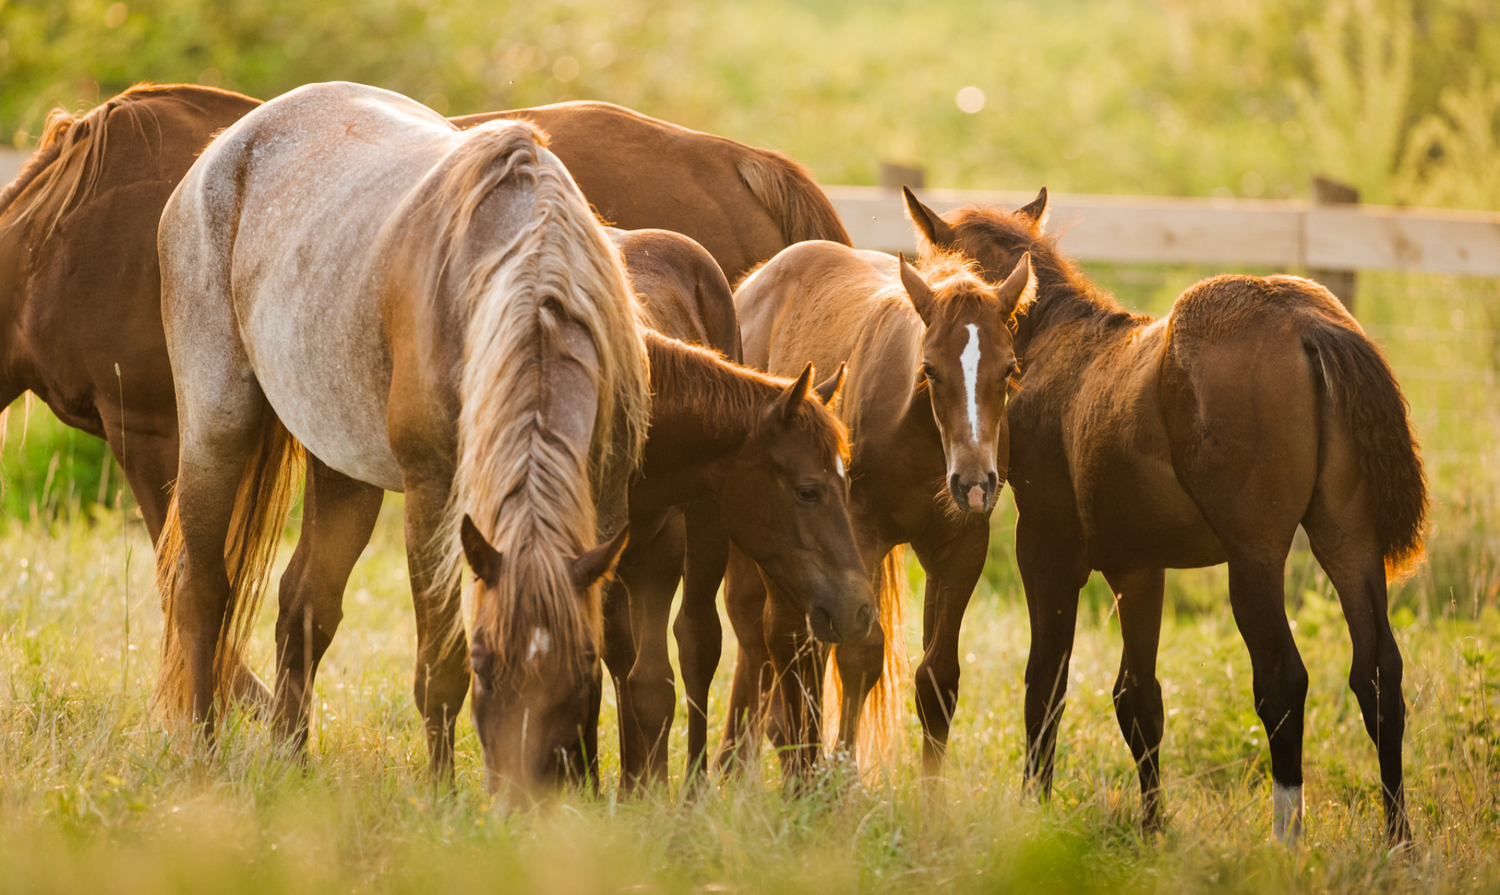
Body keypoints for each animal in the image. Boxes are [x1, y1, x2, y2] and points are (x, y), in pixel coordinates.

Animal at [151, 81, 652, 802]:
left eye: (579, 661)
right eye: (486, 659)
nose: (527, 798)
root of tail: (224, 148)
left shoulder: (606, 501)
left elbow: (618, 651)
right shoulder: (434, 496)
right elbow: (438, 667)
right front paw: (441, 796)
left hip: (344, 469)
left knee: (303, 606)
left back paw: (292, 763)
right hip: (217, 429)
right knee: (202, 591)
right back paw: (204, 754)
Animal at [723, 239, 1035, 780]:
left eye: (1010, 370)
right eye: (930, 370)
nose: (974, 484)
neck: (917, 435)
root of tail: (754, 282)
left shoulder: (960, 549)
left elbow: (937, 679)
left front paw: (930, 798)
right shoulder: (858, 534)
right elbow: (859, 654)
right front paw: (840, 780)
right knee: (782, 637)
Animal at [901, 186, 1427, 846]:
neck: (1053, 351)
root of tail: (1309, 321)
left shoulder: (1046, 551)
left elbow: (1046, 685)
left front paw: (1033, 814)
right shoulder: (1138, 568)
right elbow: (1139, 699)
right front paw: (1152, 830)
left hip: (1255, 559)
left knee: (1283, 679)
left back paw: (1286, 840)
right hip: (1348, 541)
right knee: (1378, 673)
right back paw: (1398, 840)